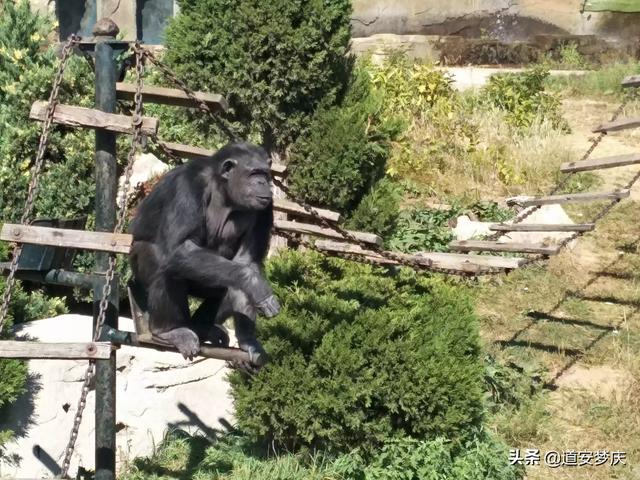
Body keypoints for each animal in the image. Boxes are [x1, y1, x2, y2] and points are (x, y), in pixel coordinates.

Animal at [128, 142, 280, 368]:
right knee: (162, 261)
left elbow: (245, 264)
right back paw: (169, 331)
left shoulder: (265, 208)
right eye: (254, 173)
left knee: (229, 279)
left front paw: (247, 340)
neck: (224, 191)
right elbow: (180, 247)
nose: (263, 182)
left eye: (265, 173)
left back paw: (202, 327)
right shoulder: (188, 186)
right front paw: (254, 284)